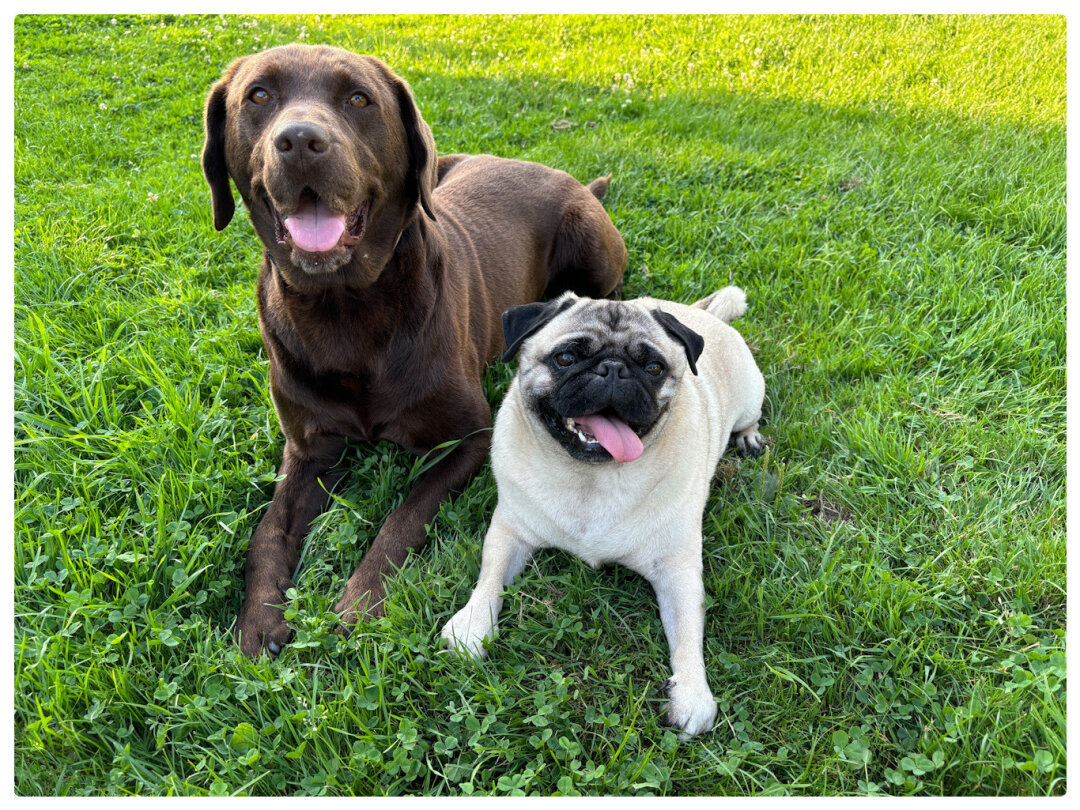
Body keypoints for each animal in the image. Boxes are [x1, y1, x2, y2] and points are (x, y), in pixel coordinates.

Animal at [203, 42, 626, 660]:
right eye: (258, 95)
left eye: (359, 99)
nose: (300, 141)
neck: (344, 310)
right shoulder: (308, 450)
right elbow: (268, 532)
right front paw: (258, 616)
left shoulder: (468, 438)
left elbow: (402, 518)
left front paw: (360, 601)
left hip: (591, 246)